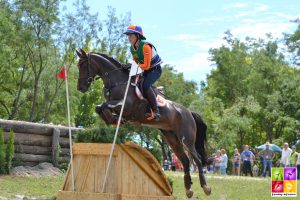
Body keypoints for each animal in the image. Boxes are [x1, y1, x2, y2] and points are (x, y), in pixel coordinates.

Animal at [75, 48, 211, 198]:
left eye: (83, 65)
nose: (80, 87)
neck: (118, 82)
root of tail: (188, 112)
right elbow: (99, 107)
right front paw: (114, 120)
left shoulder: (125, 106)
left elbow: (104, 105)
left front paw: (115, 119)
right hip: (172, 139)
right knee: (186, 161)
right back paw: (188, 189)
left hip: (186, 139)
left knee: (197, 159)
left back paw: (206, 187)